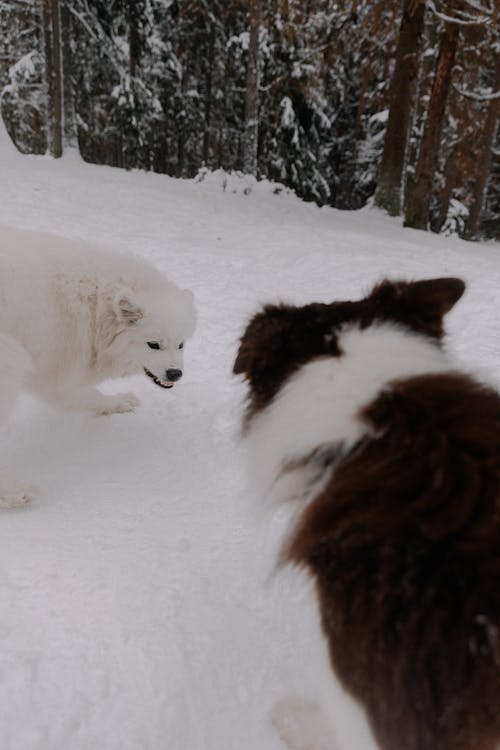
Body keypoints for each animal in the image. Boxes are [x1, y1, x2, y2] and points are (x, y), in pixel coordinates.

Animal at [0, 226, 196, 508]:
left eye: (181, 344)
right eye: (153, 344)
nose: (175, 374)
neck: (95, 305)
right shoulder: (61, 374)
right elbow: (88, 395)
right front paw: (116, 402)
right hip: (11, 362)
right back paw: (15, 493)